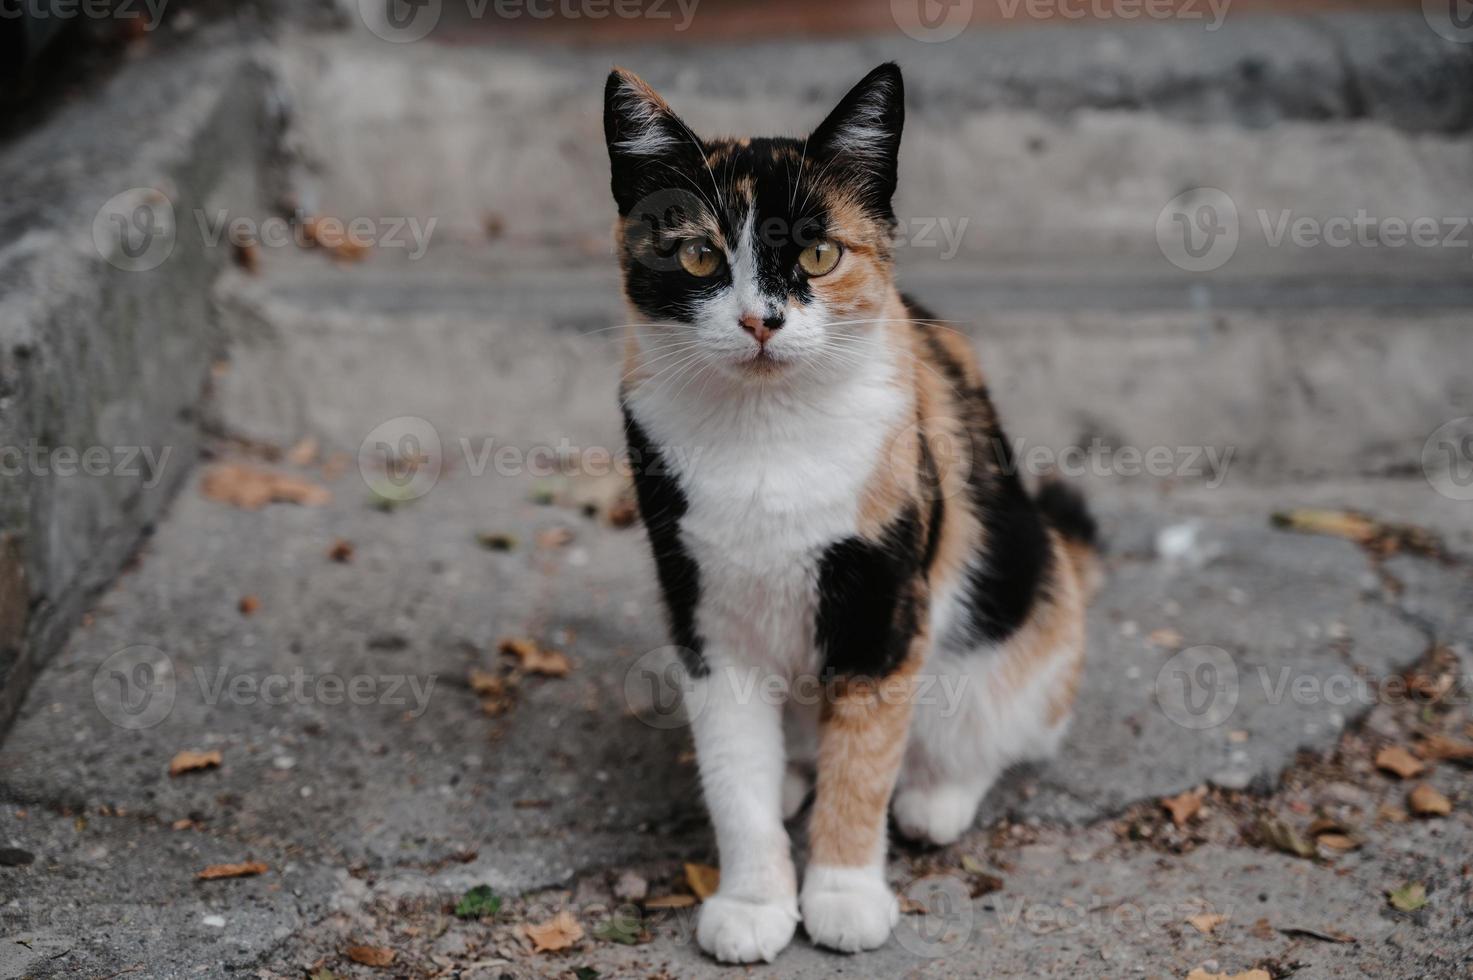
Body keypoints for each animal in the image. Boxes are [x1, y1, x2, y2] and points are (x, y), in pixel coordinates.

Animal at [603, 63, 1101, 960]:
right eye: (697, 253)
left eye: (818, 252)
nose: (759, 320)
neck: (765, 435)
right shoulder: (703, 617)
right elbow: (733, 775)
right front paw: (754, 902)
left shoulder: (885, 606)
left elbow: (864, 761)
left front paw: (842, 894)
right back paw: (794, 774)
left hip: (1025, 611)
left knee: (1007, 725)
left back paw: (937, 796)